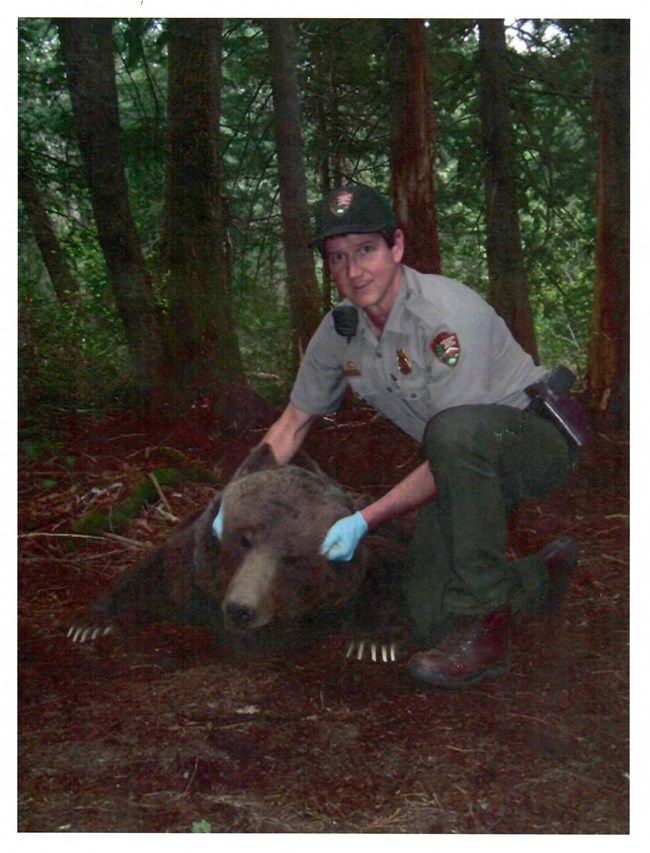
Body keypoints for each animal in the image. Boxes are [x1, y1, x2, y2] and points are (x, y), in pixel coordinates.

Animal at [67, 442, 410, 656]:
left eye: (292, 557)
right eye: (244, 539)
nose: (240, 609)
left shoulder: (367, 560)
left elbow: (391, 575)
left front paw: (374, 643)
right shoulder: (188, 569)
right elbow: (151, 572)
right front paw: (90, 624)